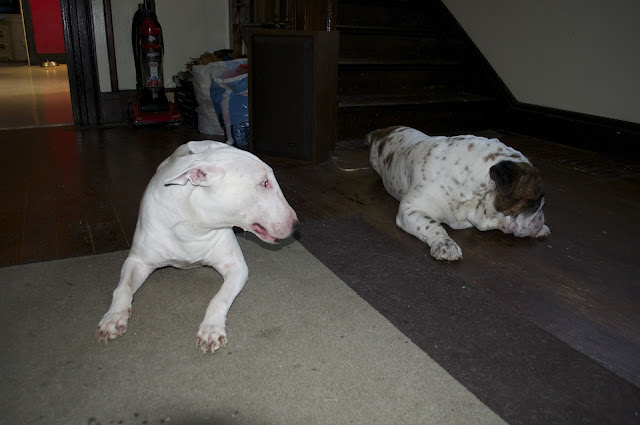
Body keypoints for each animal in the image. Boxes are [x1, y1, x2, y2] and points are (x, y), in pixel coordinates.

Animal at [96, 141, 298, 353]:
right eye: (265, 183)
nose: (296, 225)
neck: (193, 225)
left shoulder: (236, 267)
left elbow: (219, 298)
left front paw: (211, 329)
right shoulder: (137, 261)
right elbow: (123, 288)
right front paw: (113, 318)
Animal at [367, 126, 549, 261]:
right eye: (533, 202)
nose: (540, 219)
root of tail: (379, 132)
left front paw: (542, 228)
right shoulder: (411, 209)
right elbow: (431, 224)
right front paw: (445, 243)